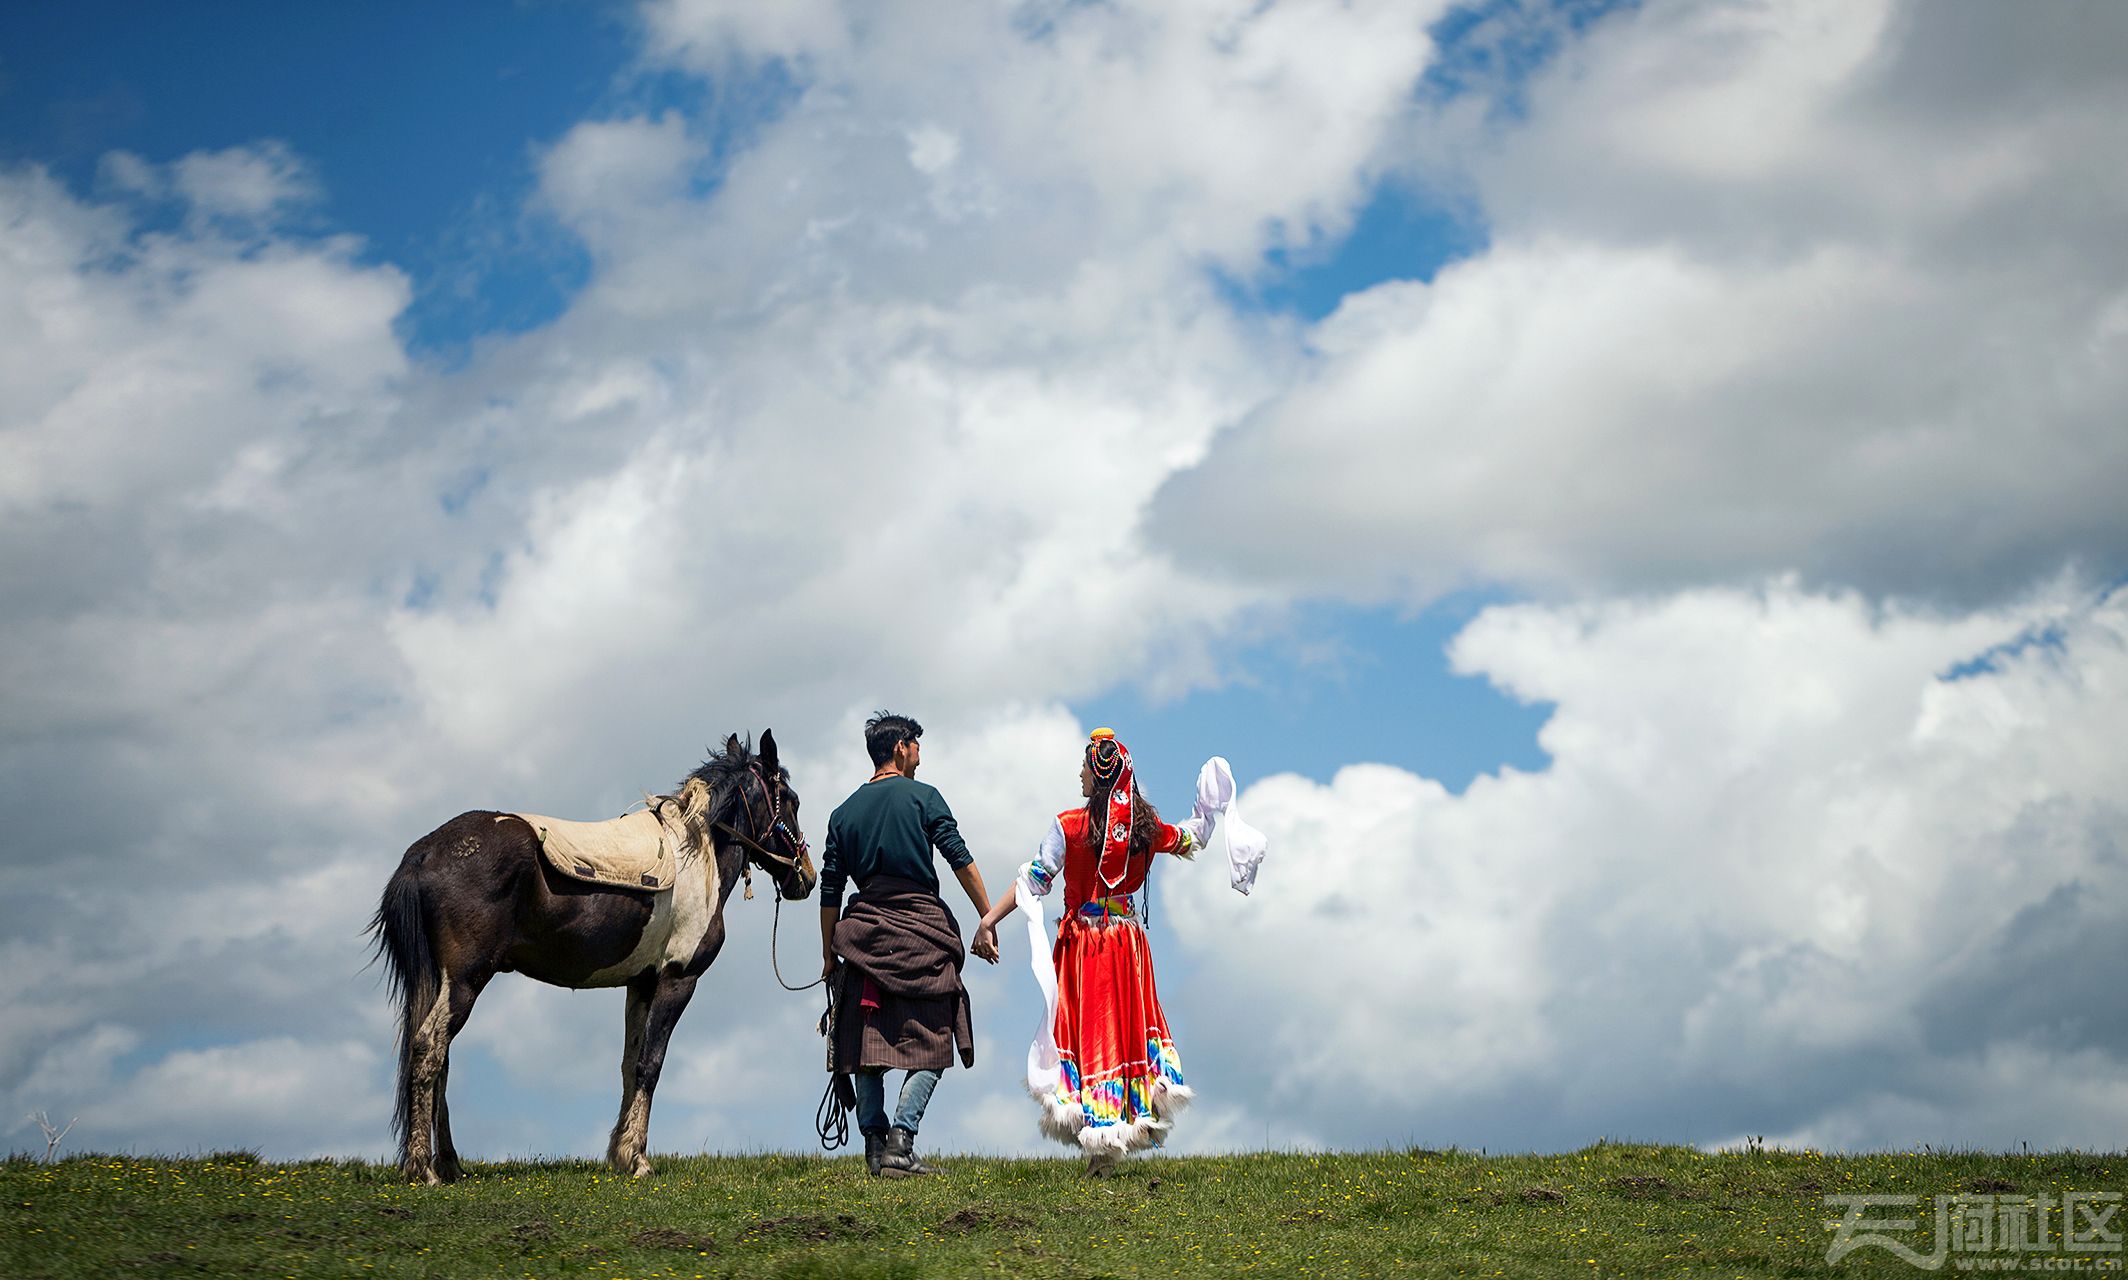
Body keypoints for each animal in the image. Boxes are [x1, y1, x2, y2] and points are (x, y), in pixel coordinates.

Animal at [368, 727, 812, 1173]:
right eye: (791, 800)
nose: (805, 876)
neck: (696, 857)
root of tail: (425, 851)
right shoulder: (677, 979)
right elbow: (650, 1065)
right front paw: (638, 1159)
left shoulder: (642, 983)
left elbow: (630, 1066)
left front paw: (621, 1154)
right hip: (465, 979)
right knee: (429, 1048)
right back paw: (423, 1167)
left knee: (440, 1057)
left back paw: (451, 1166)